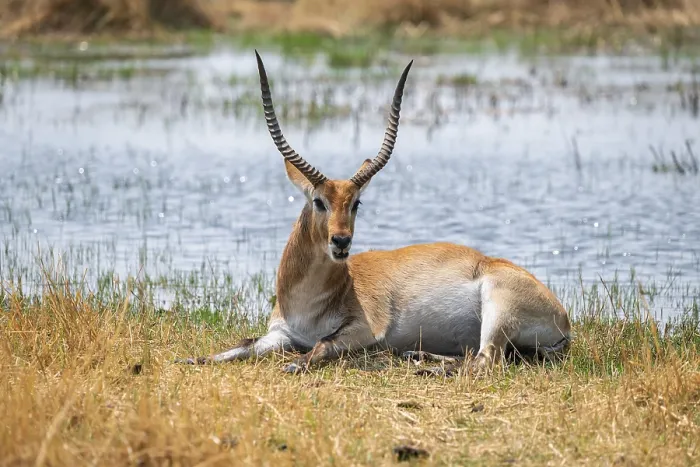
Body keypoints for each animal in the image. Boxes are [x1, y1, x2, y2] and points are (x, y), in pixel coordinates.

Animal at [176, 51, 572, 376]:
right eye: (319, 201)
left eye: (356, 203)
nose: (341, 241)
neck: (311, 300)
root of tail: (564, 320)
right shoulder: (279, 333)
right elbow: (241, 346)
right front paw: (192, 359)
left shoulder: (365, 330)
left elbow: (322, 346)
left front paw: (295, 364)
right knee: (476, 356)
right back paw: (420, 357)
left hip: (496, 309)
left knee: (486, 361)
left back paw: (428, 368)